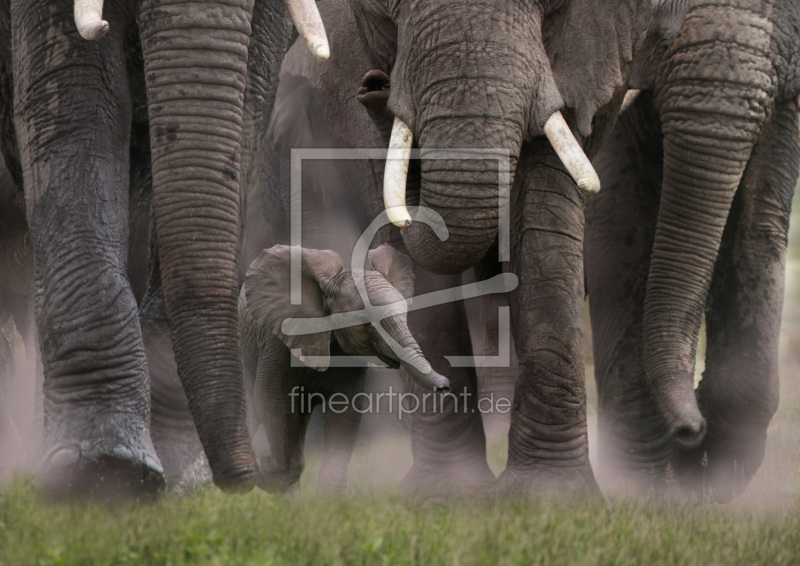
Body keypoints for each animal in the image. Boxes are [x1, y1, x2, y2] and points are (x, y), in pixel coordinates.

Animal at [238, 246, 450, 494]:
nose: (445, 387)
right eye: (365, 322)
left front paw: (328, 499)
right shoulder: (277, 344)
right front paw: (265, 472)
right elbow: (273, 401)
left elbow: (345, 412)